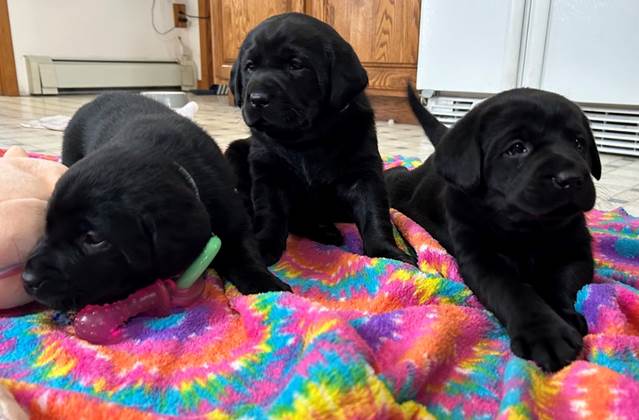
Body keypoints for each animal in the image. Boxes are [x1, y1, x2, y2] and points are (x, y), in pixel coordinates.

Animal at [20, 92, 290, 310]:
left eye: (94, 239)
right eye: (47, 225)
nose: (27, 280)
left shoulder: (233, 217)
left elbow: (244, 252)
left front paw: (268, 286)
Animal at [225, 14, 416, 268]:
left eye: (296, 65)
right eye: (250, 67)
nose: (257, 99)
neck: (306, 140)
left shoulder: (364, 173)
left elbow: (375, 213)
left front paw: (387, 253)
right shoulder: (268, 173)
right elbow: (270, 213)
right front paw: (263, 246)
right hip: (236, 152)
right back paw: (324, 231)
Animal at [388, 86, 604, 370]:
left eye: (579, 143)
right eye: (517, 148)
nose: (571, 178)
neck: (529, 228)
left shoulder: (575, 255)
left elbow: (559, 283)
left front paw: (563, 315)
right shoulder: (482, 260)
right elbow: (513, 290)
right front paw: (545, 332)